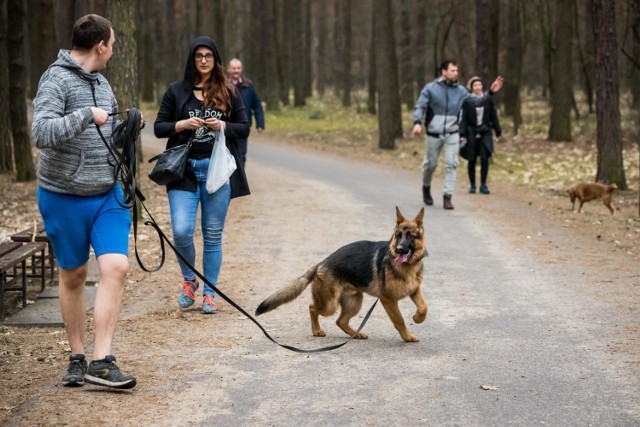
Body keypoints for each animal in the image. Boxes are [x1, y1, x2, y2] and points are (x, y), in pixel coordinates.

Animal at [252, 207, 428, 344]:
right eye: (398, 236)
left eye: (411, 236)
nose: (398, 250)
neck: (407, 267)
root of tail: (322, 263)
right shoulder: (388, 300)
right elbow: (399, 320)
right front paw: (407, 336)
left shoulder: (414, 290)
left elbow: (424, 307)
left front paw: (417, 318)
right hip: (329, 305)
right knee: (312, 307)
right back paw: (317, 330)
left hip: (354, 302)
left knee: (340, 321)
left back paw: (355, 334)